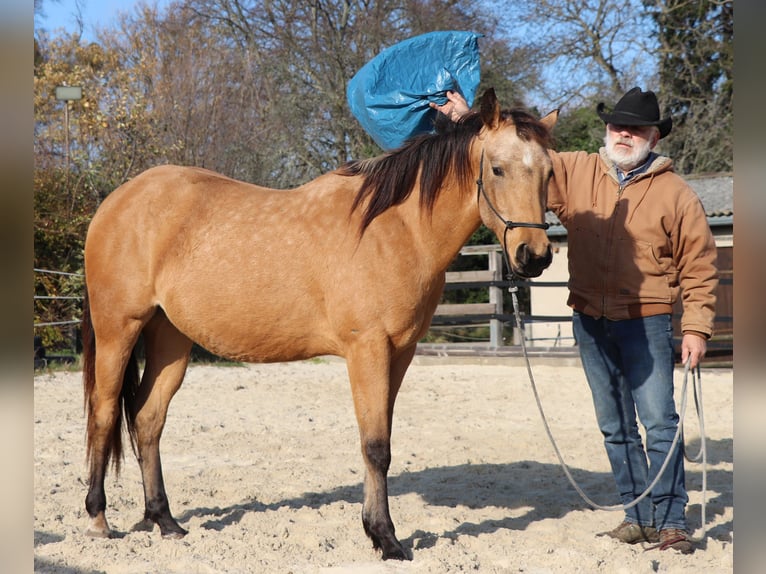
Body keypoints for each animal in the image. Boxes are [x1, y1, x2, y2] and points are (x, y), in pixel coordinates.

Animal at [80, 88, 557, 560]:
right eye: (497, 169)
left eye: (549, 172)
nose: (533, 256)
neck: (397, 229)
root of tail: (115, 201)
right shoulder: (368, 349)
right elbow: (375, 446)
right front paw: (386, 538)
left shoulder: (400, 353)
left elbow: (381, 440)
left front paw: (375, 530)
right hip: (118, 328)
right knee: (104, 412)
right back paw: (98, 519)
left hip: (171, 339)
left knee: (148, 418)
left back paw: (165, 521)